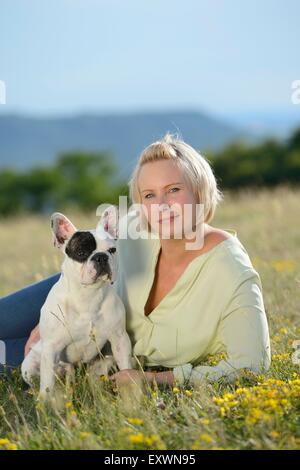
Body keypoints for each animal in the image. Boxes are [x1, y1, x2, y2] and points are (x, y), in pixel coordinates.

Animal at [21, 207, 132, 398]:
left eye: (112, 250)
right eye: (81, 253)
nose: (101, 257)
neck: (88, 294)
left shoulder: (120, 339)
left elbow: (126, 366)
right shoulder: (51, 348)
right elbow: (47, 382)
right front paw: (45, 402)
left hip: (105, 361)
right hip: (29, 366)